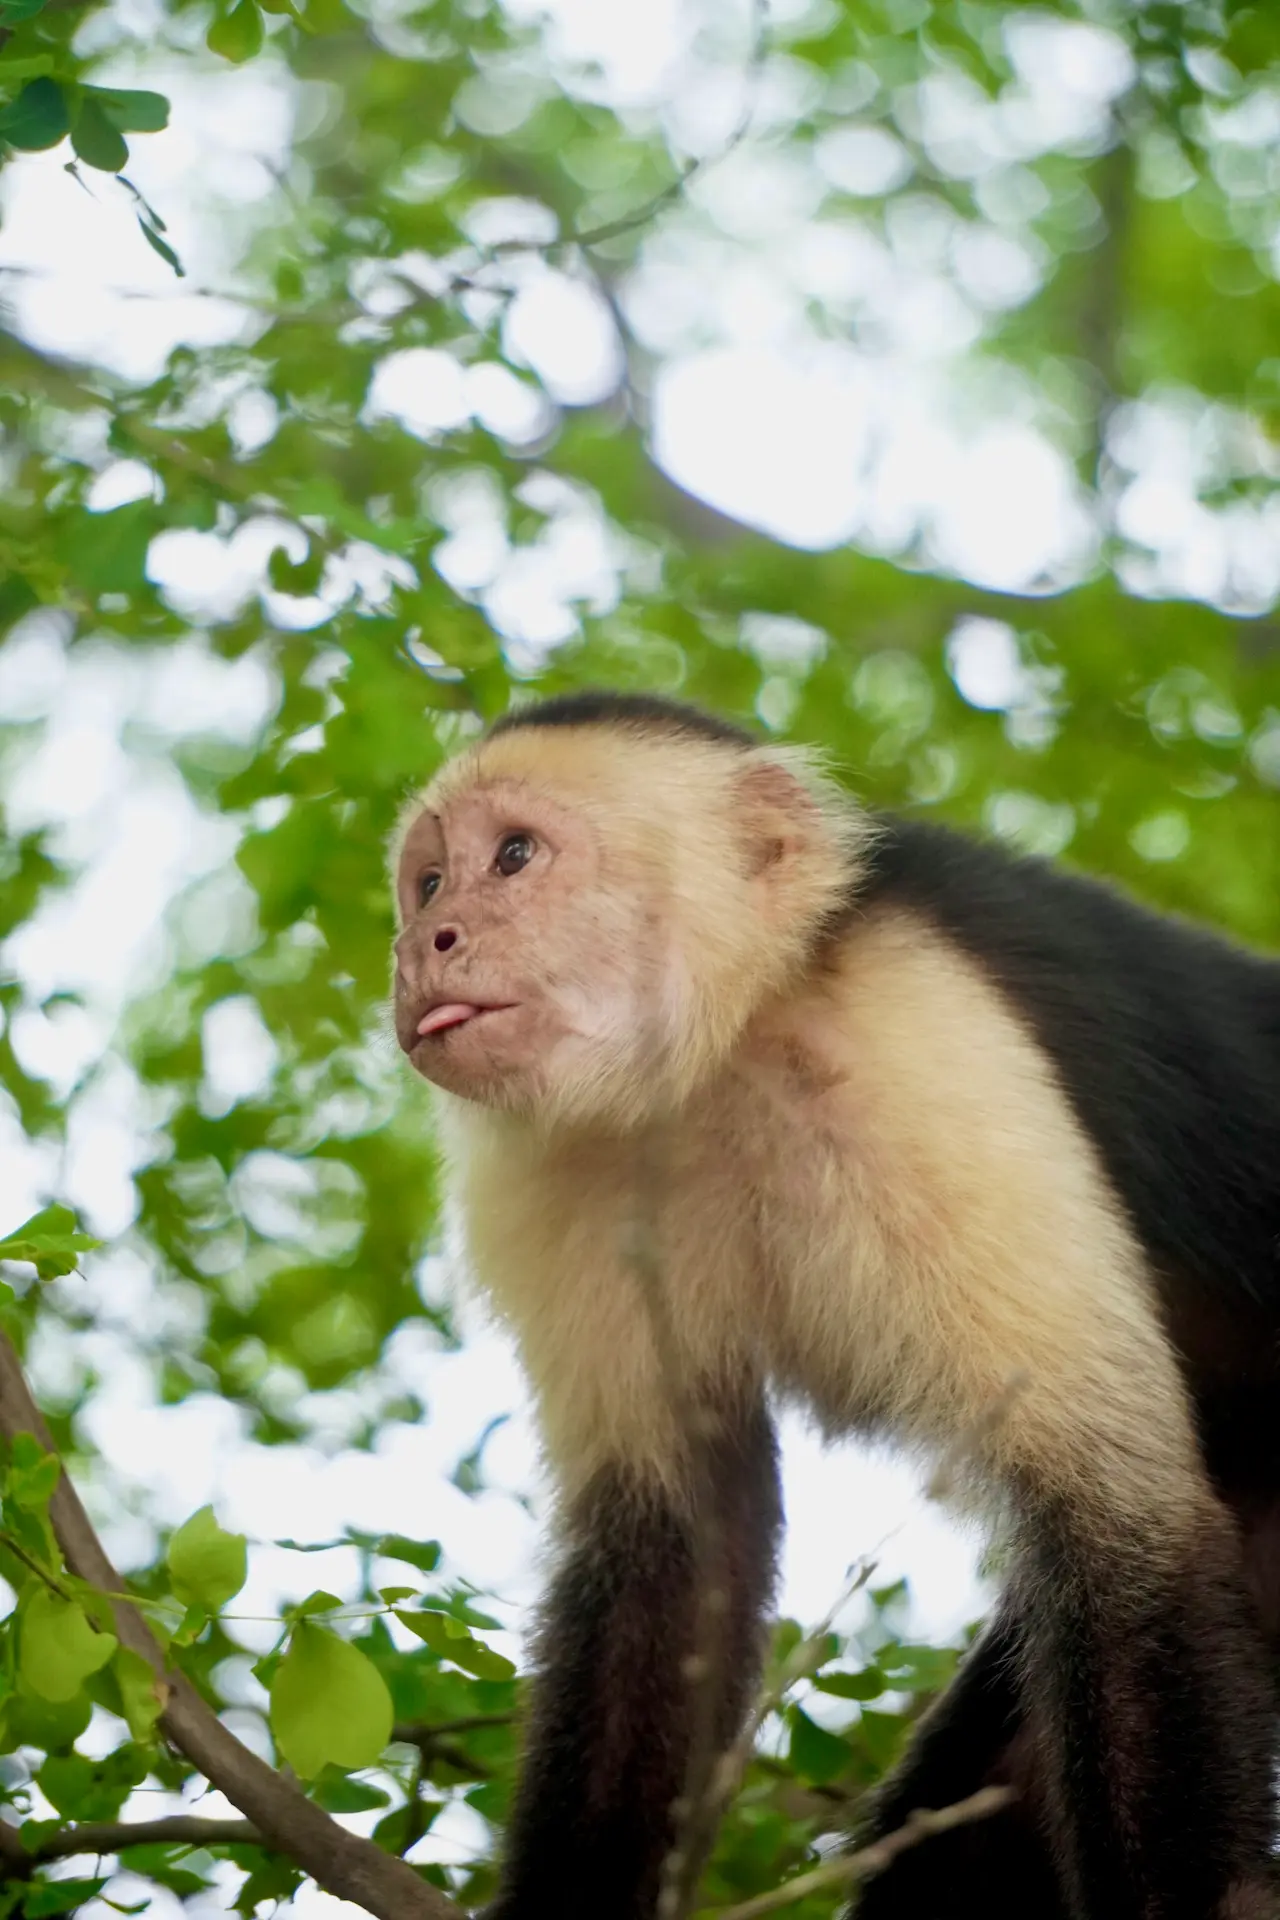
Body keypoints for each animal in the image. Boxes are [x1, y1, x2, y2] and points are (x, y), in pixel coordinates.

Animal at [389, 688, 1280, 1920]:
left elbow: (1115, 1519)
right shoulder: (543, 1171)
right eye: (428, 881)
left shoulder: (922, 1041)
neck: (729, 1047)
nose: (421, 943)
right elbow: (678, 1553)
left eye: (514, 856)